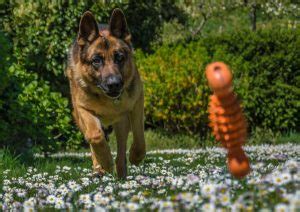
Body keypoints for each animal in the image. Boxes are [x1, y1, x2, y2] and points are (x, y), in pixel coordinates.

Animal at [66, 8, 145, 179]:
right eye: (96, 60)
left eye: (119, 57)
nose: (114, 84)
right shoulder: (83, 110)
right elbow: (95, 136)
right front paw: (106, 162)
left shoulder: (137, 104)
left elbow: (139, 135)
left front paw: (136, 156)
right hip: (81, 120)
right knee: (93, 138)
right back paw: (100, 168)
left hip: (121, 123)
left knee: (121, 151)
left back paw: (121, 174)